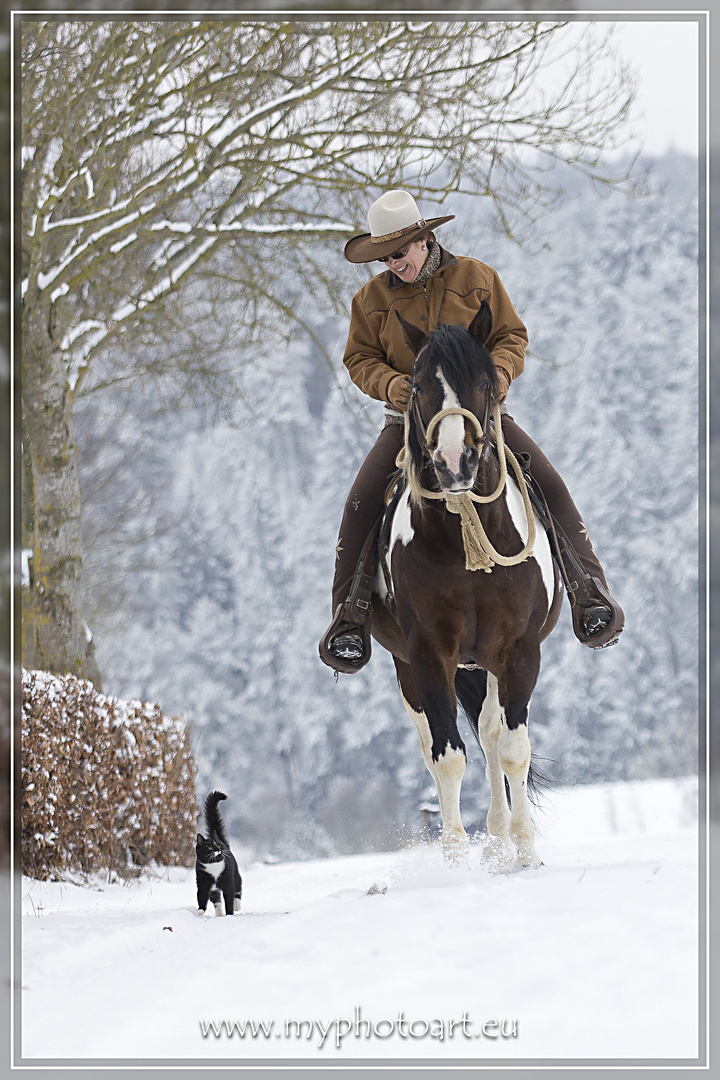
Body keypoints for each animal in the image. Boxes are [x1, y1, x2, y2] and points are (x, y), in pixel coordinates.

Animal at [371, 302, 561, 868]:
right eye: (415, 386)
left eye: (483, 380)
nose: (455, 462)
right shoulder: (429, 652)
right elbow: (448, 756)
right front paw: (455, 862)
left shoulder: (518, 649)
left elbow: (511, 749)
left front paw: (524, 853)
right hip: (412, 669)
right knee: (434, 745)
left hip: (487, 662)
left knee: (491, 733)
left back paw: (500, 839)